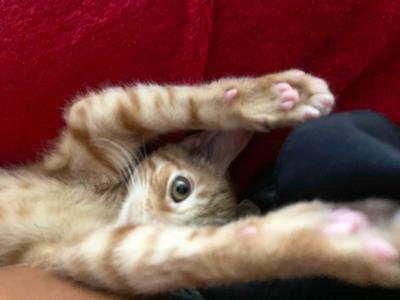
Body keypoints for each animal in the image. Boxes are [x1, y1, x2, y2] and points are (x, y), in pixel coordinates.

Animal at [0, 69, 400, 296]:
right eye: (181, 189)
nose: (150, 222)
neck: (110, 208)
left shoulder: (84, 252)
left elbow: (196, 255)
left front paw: (334, 240)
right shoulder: (93, 124)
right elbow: (164, 103)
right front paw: (267, 98)